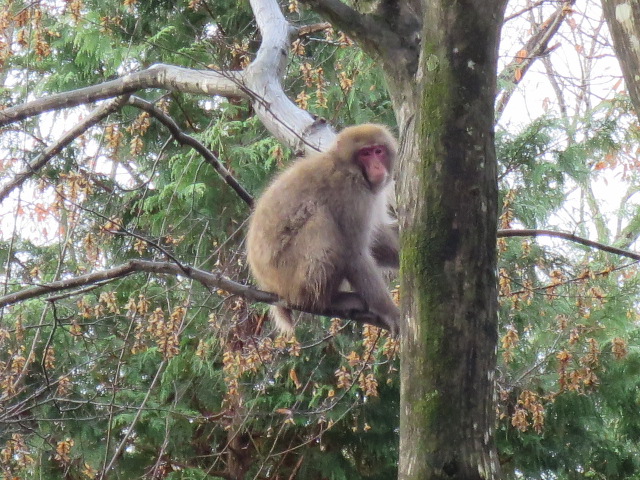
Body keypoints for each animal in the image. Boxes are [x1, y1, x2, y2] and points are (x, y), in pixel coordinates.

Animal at [246, 124, 400, 334]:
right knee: (321, 219)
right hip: (289, 275)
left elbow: (376, 241)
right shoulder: (351, 194)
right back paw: (326, 301)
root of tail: (269, 285)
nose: (377, 167)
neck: (349, 168)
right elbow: (354, 254)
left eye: (378, 151)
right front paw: (391, 313)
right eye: (365, 154)